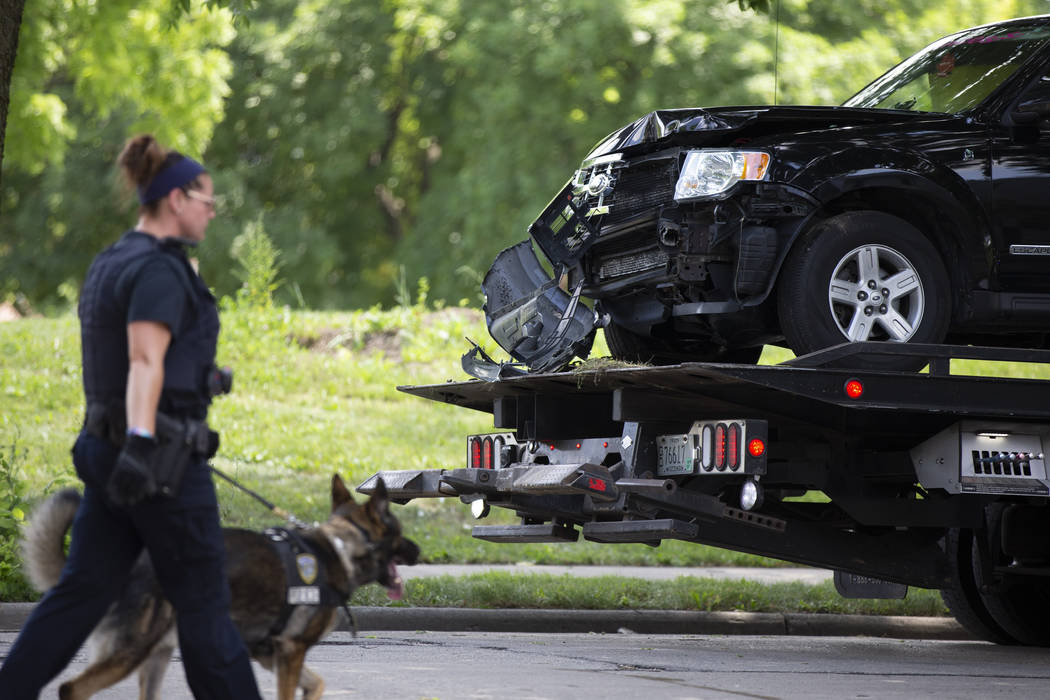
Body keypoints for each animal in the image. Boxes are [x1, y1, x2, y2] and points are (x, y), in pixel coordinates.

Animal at [24, 474, 417, 696]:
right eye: (399, 532)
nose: (419, 551)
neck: (341, 546)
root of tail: (134, 567)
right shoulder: (290, 652)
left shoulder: (270, 653)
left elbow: (316, 683)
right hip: (132, 652)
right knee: (71, 688)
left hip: (156, 657)